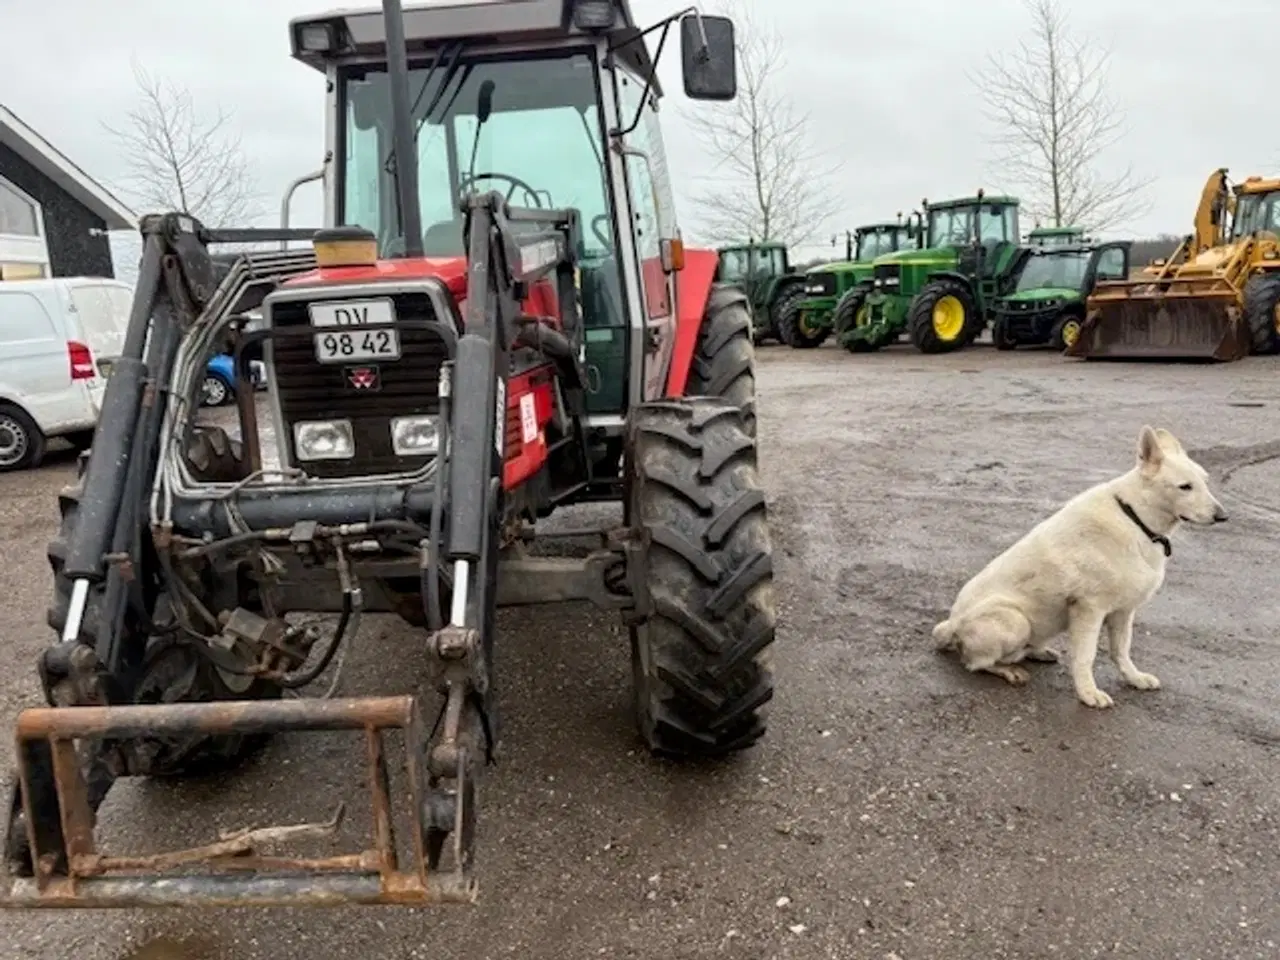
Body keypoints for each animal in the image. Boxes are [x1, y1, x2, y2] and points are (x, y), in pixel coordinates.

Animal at [936, 424, 1223, 711]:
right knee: (976, 662)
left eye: (1205, 482)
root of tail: (951, 626)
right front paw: (1088, 693)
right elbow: (1086, 656)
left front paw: (1133, 678)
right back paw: (1008, 670)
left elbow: (1122, 651)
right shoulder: (1089, 609)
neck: (1135, 518)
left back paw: (1037, 652)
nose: (1223, 516)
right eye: (1185, 487)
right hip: (1015, 620)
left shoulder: (1123, 611)